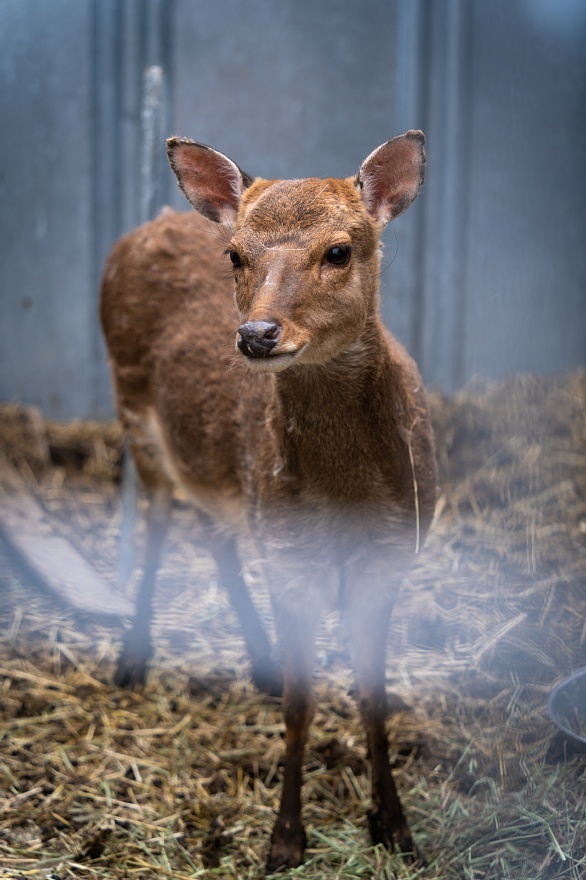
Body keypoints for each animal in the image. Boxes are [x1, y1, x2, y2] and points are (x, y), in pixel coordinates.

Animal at [99, 131, 434, 872]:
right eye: (235, 255)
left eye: (339, 250)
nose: (256, 334)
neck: (343, 495)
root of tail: (146, 227)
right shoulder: (290, 556)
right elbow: (304, 708)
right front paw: (284, 840)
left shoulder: (392, 553)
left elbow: (375, 698)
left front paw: (395, 828)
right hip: (135, 413)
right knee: (159, 520)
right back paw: (132, 662)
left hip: (220, 473)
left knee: (214, 527)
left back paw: (258, 666)